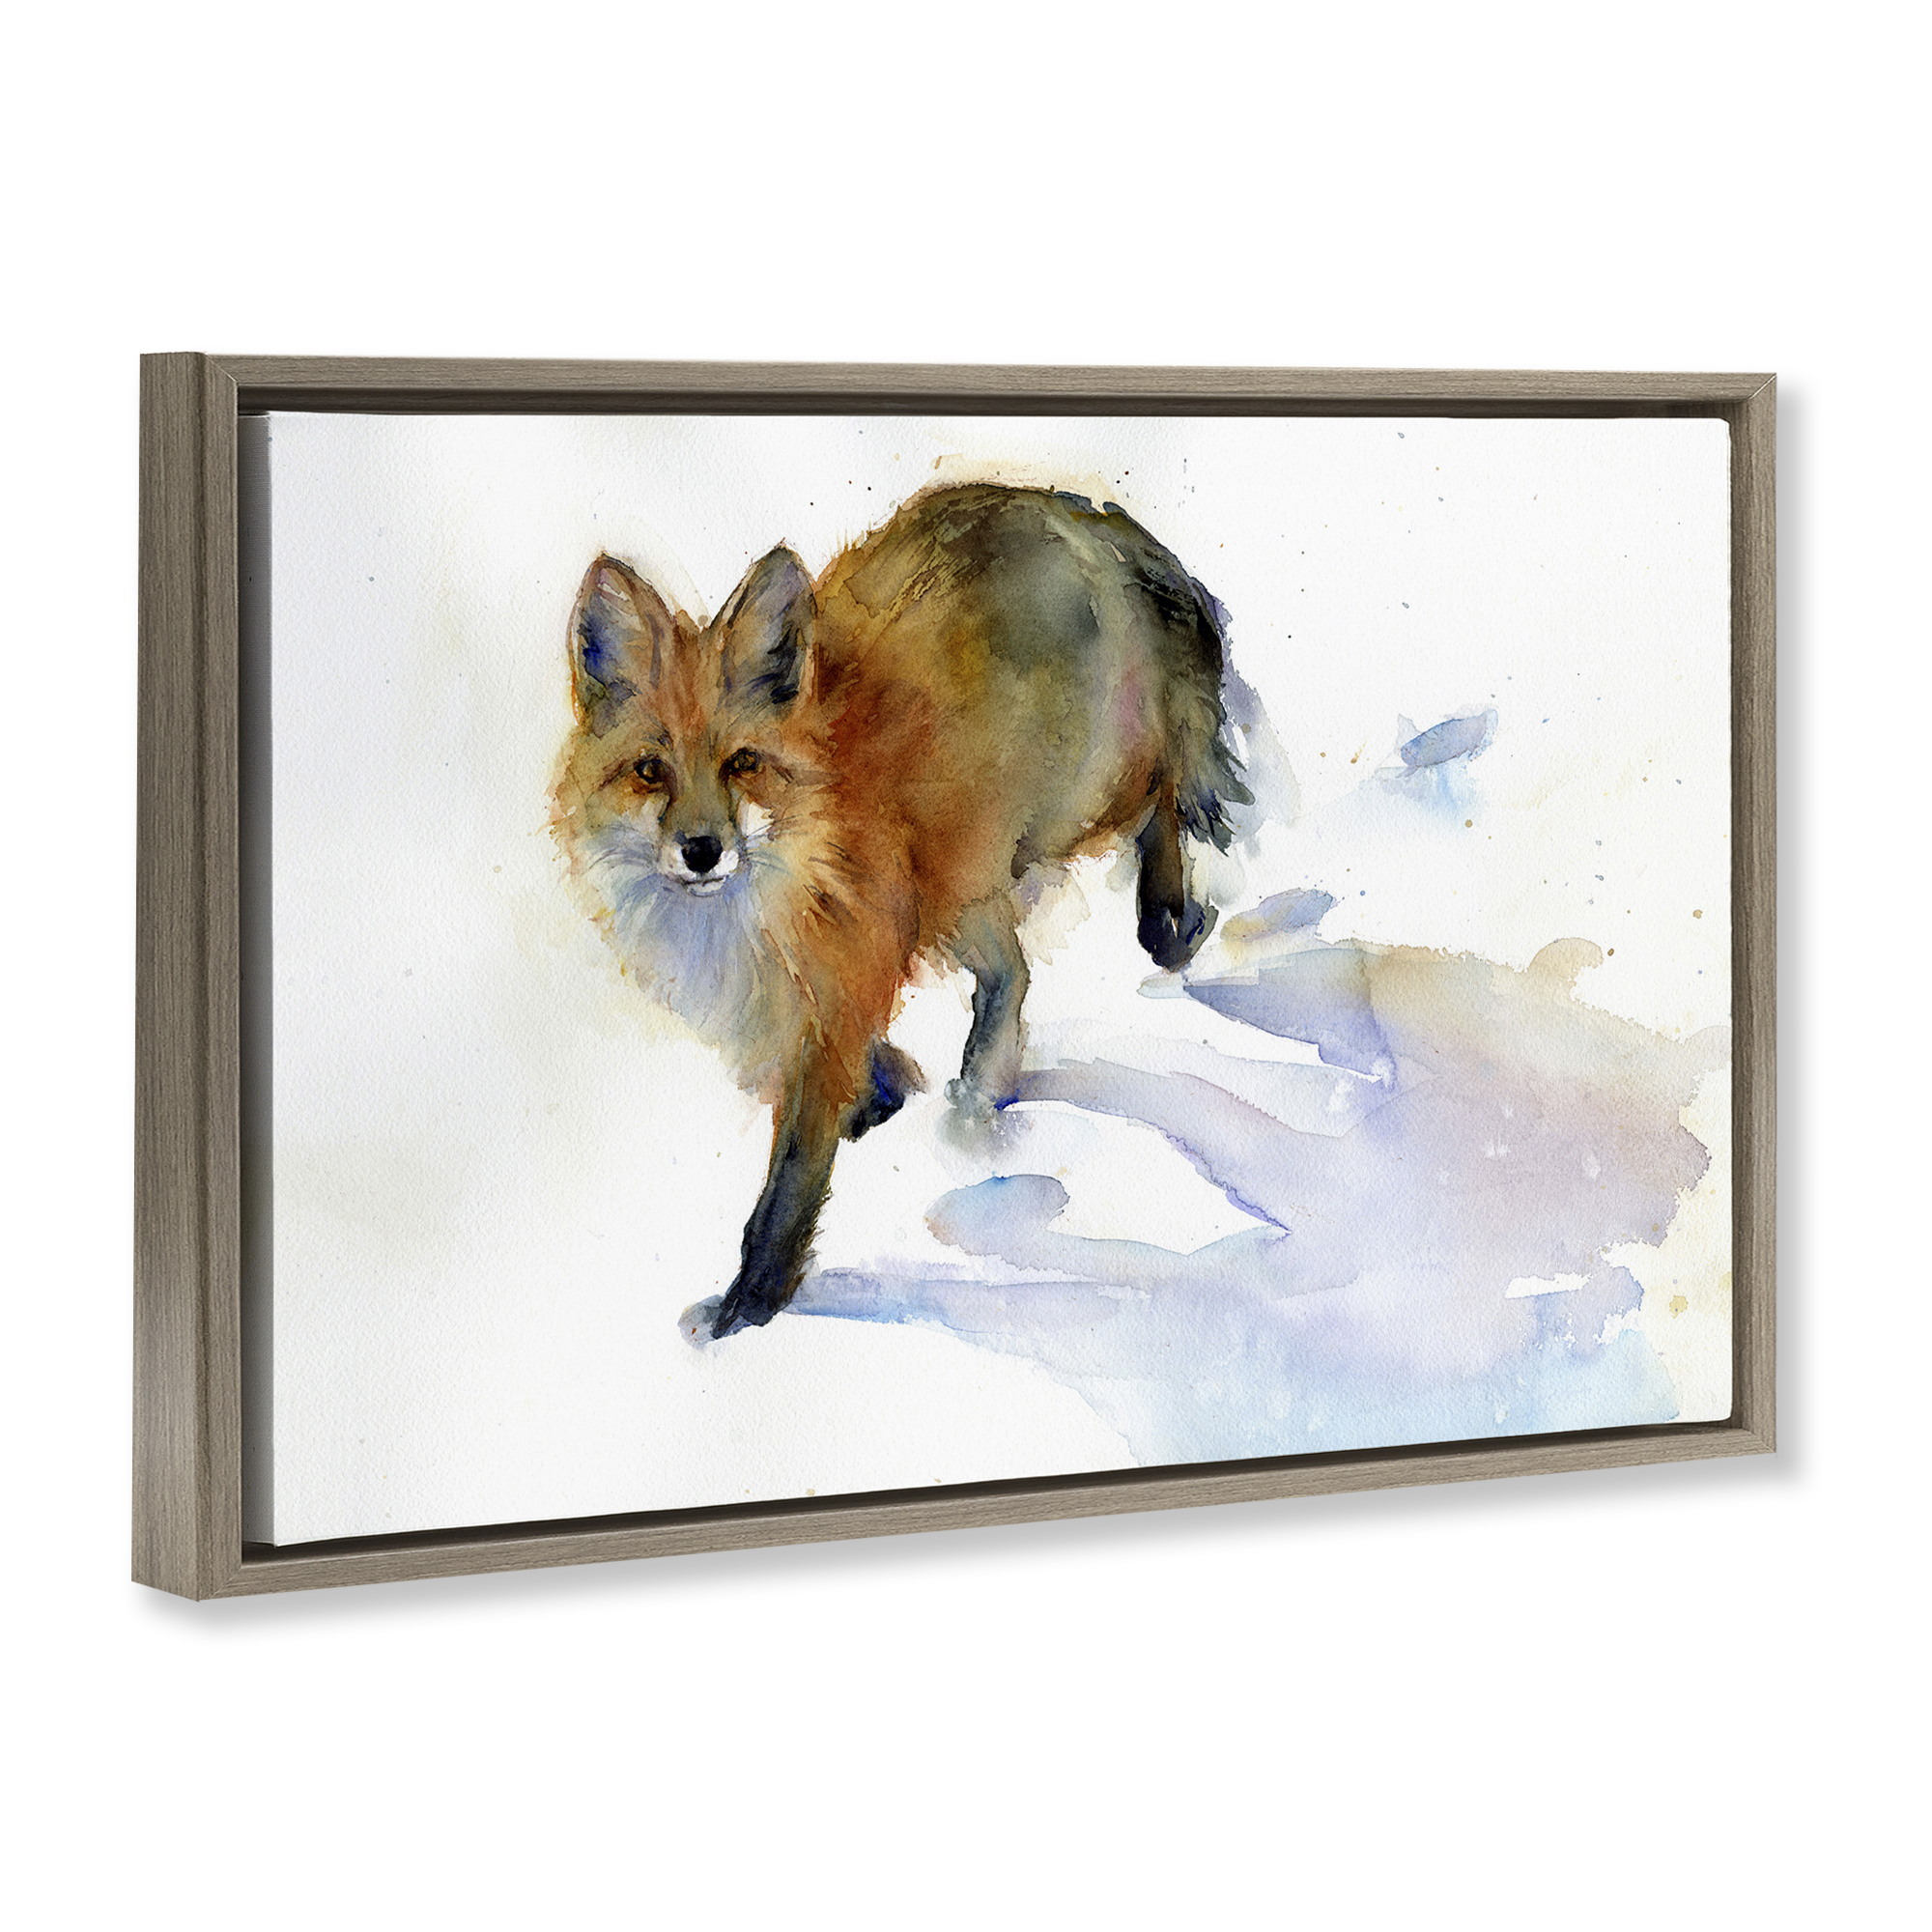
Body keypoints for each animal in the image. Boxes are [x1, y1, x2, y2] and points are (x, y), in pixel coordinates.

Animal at [552, 482, 1249, 1337]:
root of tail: (1070, 507)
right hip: (967, 879)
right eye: (650, 770)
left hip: (1064, 810)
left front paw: (750, 1307)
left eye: (742, 763)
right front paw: (884, 1097)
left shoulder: (839, 991)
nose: (702, 849)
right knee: (1012, 975)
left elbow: (787, 1187)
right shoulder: (812, 993)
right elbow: (863, 1068)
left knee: (1163, 792)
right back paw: (980, 1092)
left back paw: (1165, 916)